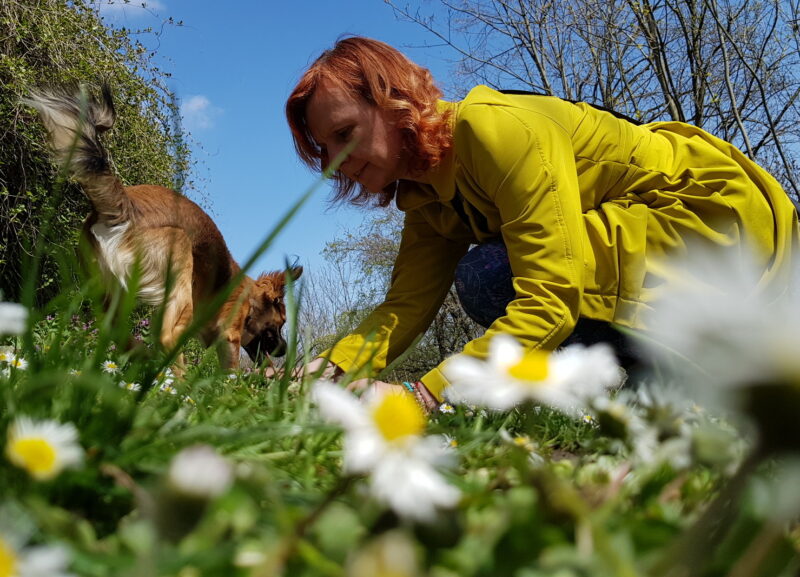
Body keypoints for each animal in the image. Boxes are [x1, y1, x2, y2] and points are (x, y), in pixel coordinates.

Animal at [25, 85, 302, 374]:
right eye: (281, 323)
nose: (284, 350)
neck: (248, 296)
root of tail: (123, 207)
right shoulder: (230, 334)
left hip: (109, 290)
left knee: (118, 334)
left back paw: (143, 360)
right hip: (178, 265)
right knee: (167, 337)